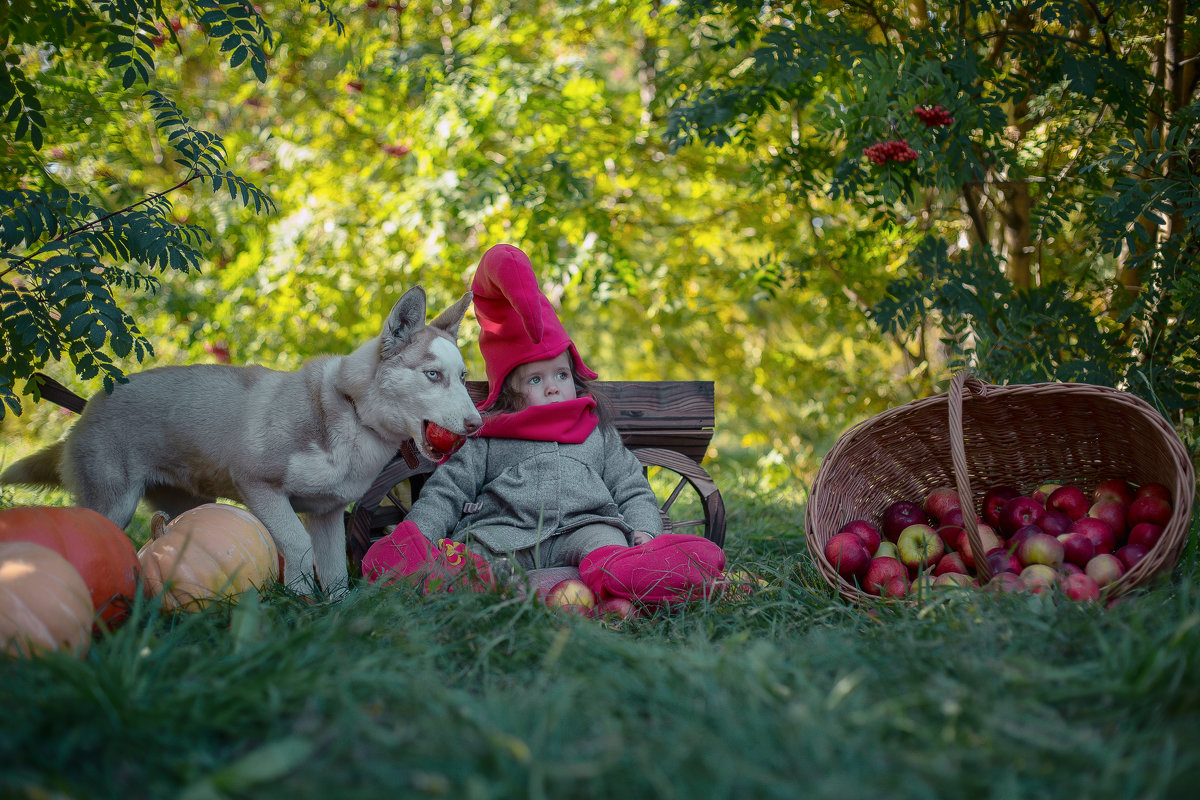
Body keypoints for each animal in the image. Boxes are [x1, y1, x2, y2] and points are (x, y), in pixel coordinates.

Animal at [5, 286, 482, 594]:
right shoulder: (259, 486)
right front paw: (299, 604)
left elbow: (336, 576)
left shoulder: (327, 514)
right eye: (432, 375)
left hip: (185, 504)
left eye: (462, 377)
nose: (478, 423)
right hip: (113, 506)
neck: (353, 412)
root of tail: (90, 404)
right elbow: (297, 548)